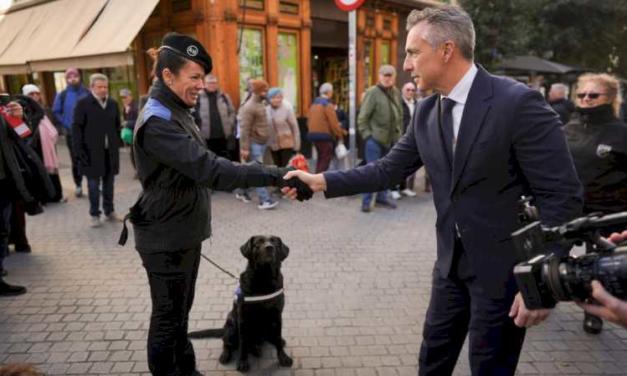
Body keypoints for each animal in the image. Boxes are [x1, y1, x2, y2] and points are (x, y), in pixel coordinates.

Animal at [189, 236, 294, 372]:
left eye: (275, 243)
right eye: (258, 243)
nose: (269, 248)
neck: (263, 278)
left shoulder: (277, 315)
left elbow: (277, 338)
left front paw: (283, 357)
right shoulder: (243, 319)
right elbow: (243, 344)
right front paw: (243, 362)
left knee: (271, 338)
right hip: (232, 325)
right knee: (227, 343)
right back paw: (226, 355)